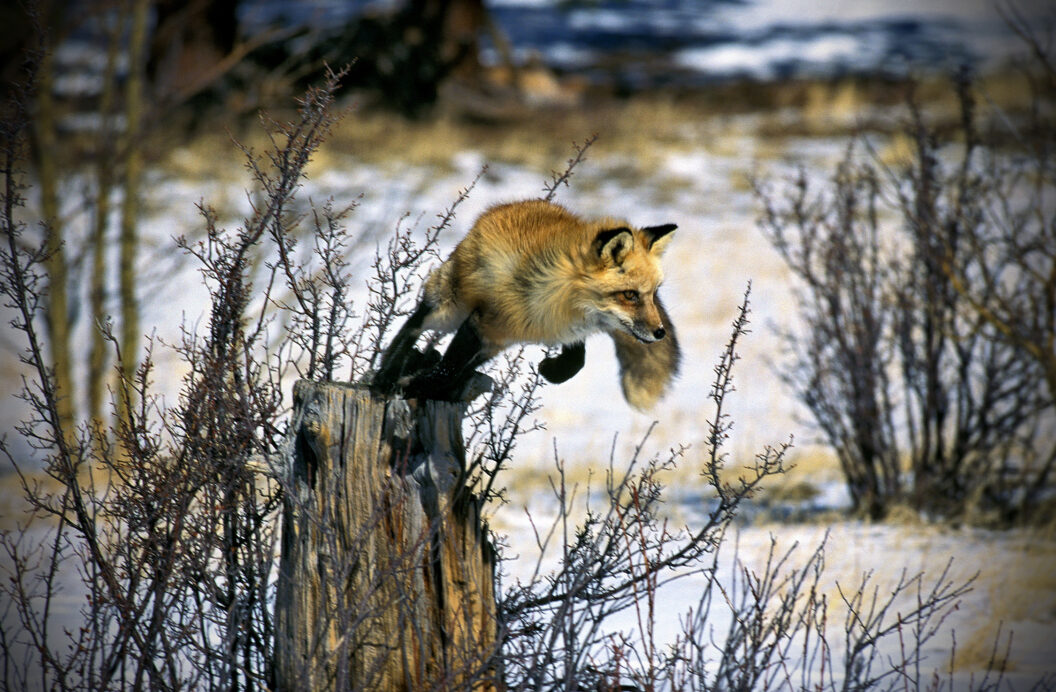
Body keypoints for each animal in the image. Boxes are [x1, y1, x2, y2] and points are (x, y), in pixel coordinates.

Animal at [375, 197, 680, 407]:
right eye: (630, 295)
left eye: (653, 293)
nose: (660, 332)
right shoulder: (483, 323)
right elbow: (446, 369)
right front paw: (409, 385)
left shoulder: (553, 330)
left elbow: (576, 361)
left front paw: (552, 371)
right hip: (450, 309)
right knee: (414, 324)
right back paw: (386, 374)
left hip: (496, 343)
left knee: (465, 362)